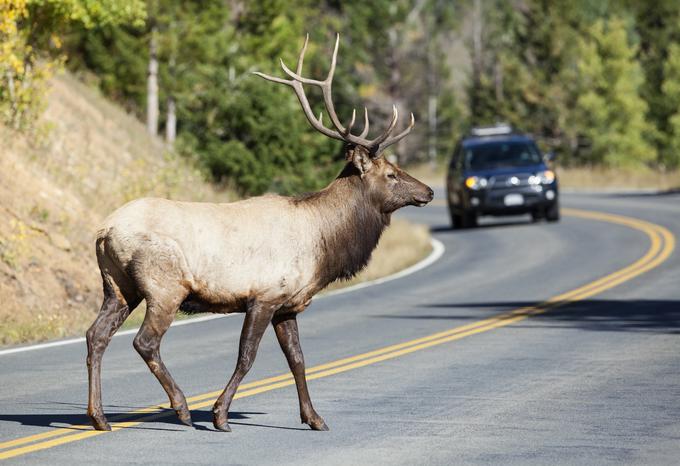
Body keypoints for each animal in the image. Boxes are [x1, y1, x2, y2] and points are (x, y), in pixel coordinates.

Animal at [86, 35, 430, 434]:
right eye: (391, 174)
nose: (427, 192)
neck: (323, 245)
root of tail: (104, 231)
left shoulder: (288, 305)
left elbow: (298, 359)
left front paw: (314, 418)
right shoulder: (264, 295)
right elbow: (246, 357)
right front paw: (220, 415)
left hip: (118, 285)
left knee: (96, 335)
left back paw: (99, 417)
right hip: (163, 287)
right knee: (145, 342)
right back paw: (182, 408)